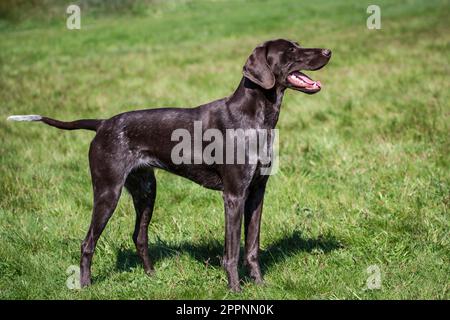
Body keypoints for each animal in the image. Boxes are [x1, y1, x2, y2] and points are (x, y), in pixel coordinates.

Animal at [7, 38, 330, 292]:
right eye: (290, 50)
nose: (328, 51)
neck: (256, 117)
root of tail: (102, 123)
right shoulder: (234, 196)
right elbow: (231, 251)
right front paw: (235, 289)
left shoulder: (256, 194)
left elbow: (251, 247)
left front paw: (260, 285)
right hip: (107, 192)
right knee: (87, 242)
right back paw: (86, 286)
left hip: (146, 190)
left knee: (139, 236)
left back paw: (151, 277)